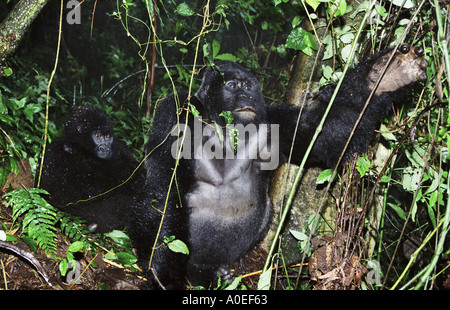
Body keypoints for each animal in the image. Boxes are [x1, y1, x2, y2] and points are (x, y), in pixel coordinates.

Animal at [128, 43, 428, 288]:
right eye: (232, 86)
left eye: (249, 87)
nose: (246, 98)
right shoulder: (176, 109)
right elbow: (164, 192)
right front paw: (164, 277)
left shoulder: (275, 118)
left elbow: (324, 133)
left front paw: (386, 76)